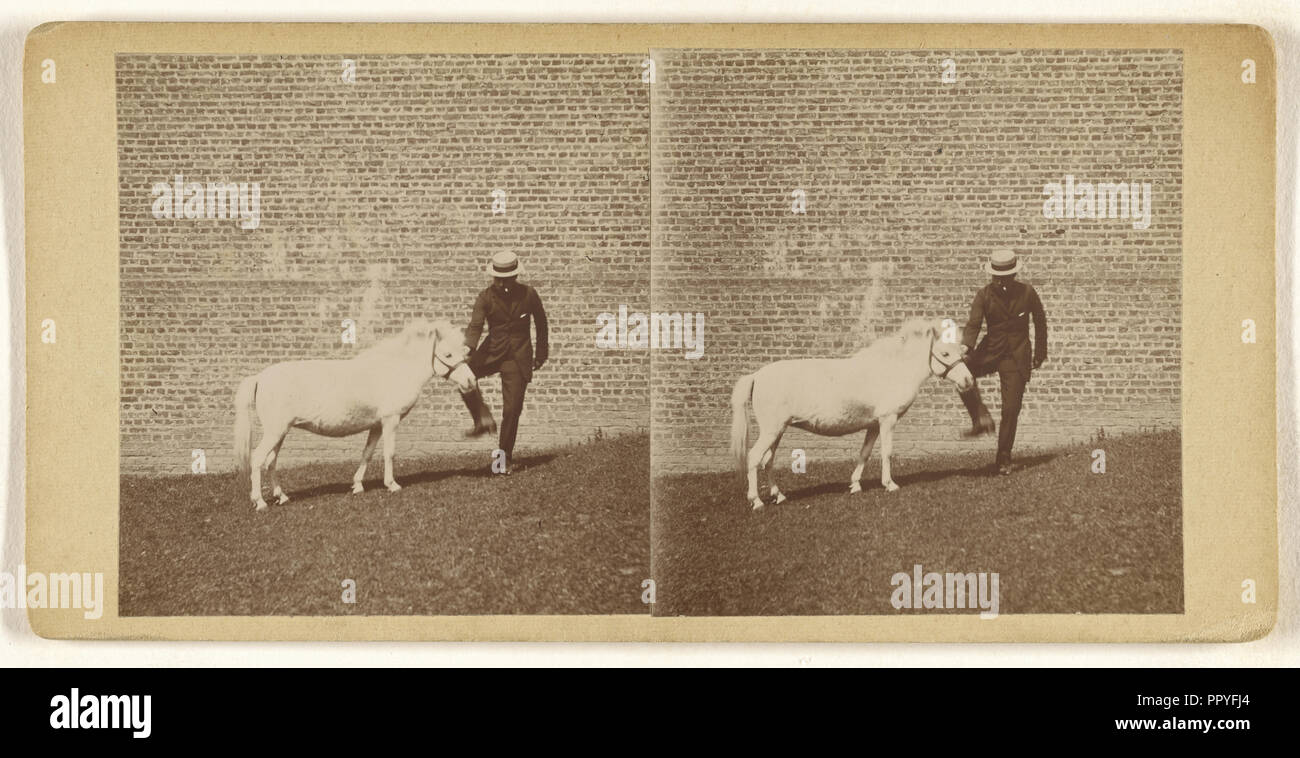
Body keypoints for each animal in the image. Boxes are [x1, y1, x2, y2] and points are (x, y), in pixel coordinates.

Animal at [233, 317, 478, 512]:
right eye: (448, 354)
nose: (471, 381)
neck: (395, 370)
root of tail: (260, 377)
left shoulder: (376, 424)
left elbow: (367, 453)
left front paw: (358, 486)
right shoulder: (390, 420)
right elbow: (389, 453)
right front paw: (392, 485)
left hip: (280, 432)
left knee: (271, 462)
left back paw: (282, 497)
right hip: (275, 431)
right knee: (258, 459)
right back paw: (260, 502)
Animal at [733, 317, 977, 512]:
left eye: (962, 352)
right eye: (945, 353)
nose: (968, 381)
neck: (893, 369)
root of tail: (757, 375)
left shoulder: (873, 424)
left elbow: (864, 453)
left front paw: (855, 485)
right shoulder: (887, 420)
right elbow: (887, 452)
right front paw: (890, 484)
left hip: (778, 430)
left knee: (767, 461)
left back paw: (780, 496)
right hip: (772, 430)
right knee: (754, 458)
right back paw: (756, 501)